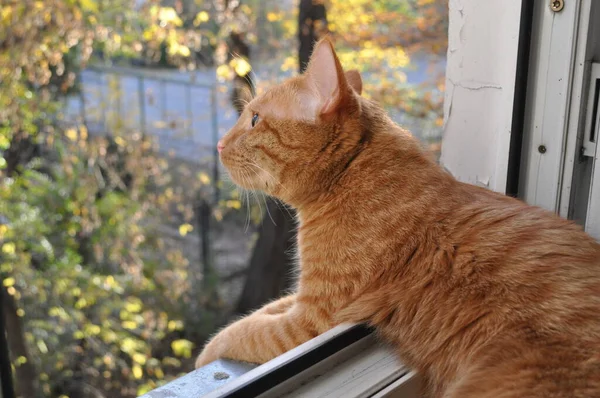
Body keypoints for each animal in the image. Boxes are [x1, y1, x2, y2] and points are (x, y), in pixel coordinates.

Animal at [197, 38, 600, 398]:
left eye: (254, 119)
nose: (218, 145)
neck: (351, 172)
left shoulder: (311, 319)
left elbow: (244, 333)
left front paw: (207, 353)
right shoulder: (301, 299)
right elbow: (262, 311)